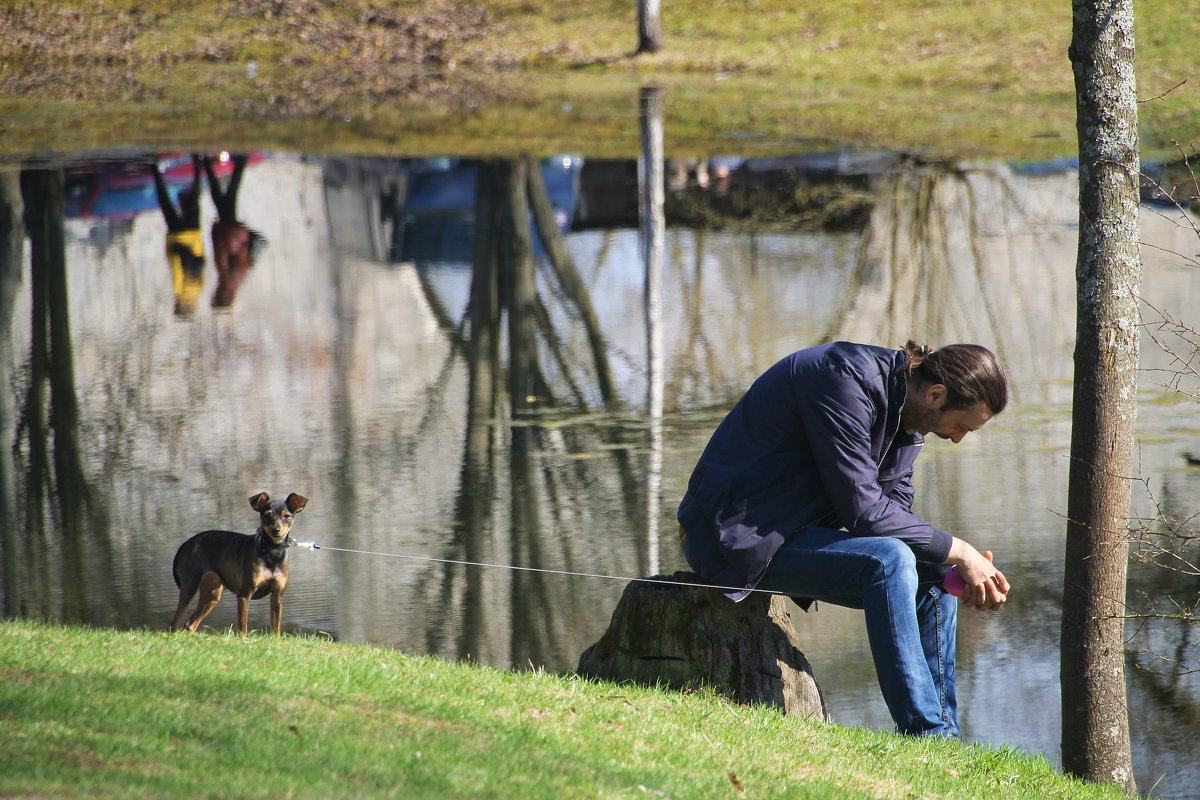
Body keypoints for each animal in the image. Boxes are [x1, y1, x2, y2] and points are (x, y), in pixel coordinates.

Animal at [171, 491, 307, 633]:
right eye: (266, 515)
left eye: (287, 516)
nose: (276, 530)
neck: (272, 552)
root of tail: (185, 545)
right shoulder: (244, 594)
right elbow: (243, 628)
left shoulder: (277, 596)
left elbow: (276, 630)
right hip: (190, 587)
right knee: (174, 623)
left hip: (212, 593)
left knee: (190, 624)